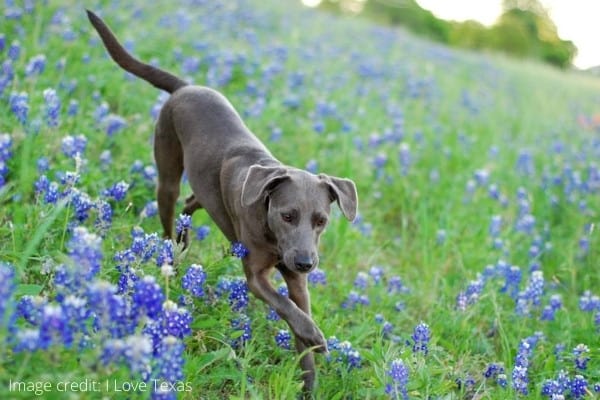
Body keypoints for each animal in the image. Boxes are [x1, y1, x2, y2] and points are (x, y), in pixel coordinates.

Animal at [87, 10, 358, 394]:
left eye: (321, 220)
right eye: (287, 215)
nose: (307, 262)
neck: (272, 234)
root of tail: (185, 86)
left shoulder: (296, 279)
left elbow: (297, 319)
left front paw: (309, 380)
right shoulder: (256, 275)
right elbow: (285, 308)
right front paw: (316, 338)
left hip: (206, 190)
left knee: (191, 203)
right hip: (167, 173)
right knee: (170, 217)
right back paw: (173, 255)